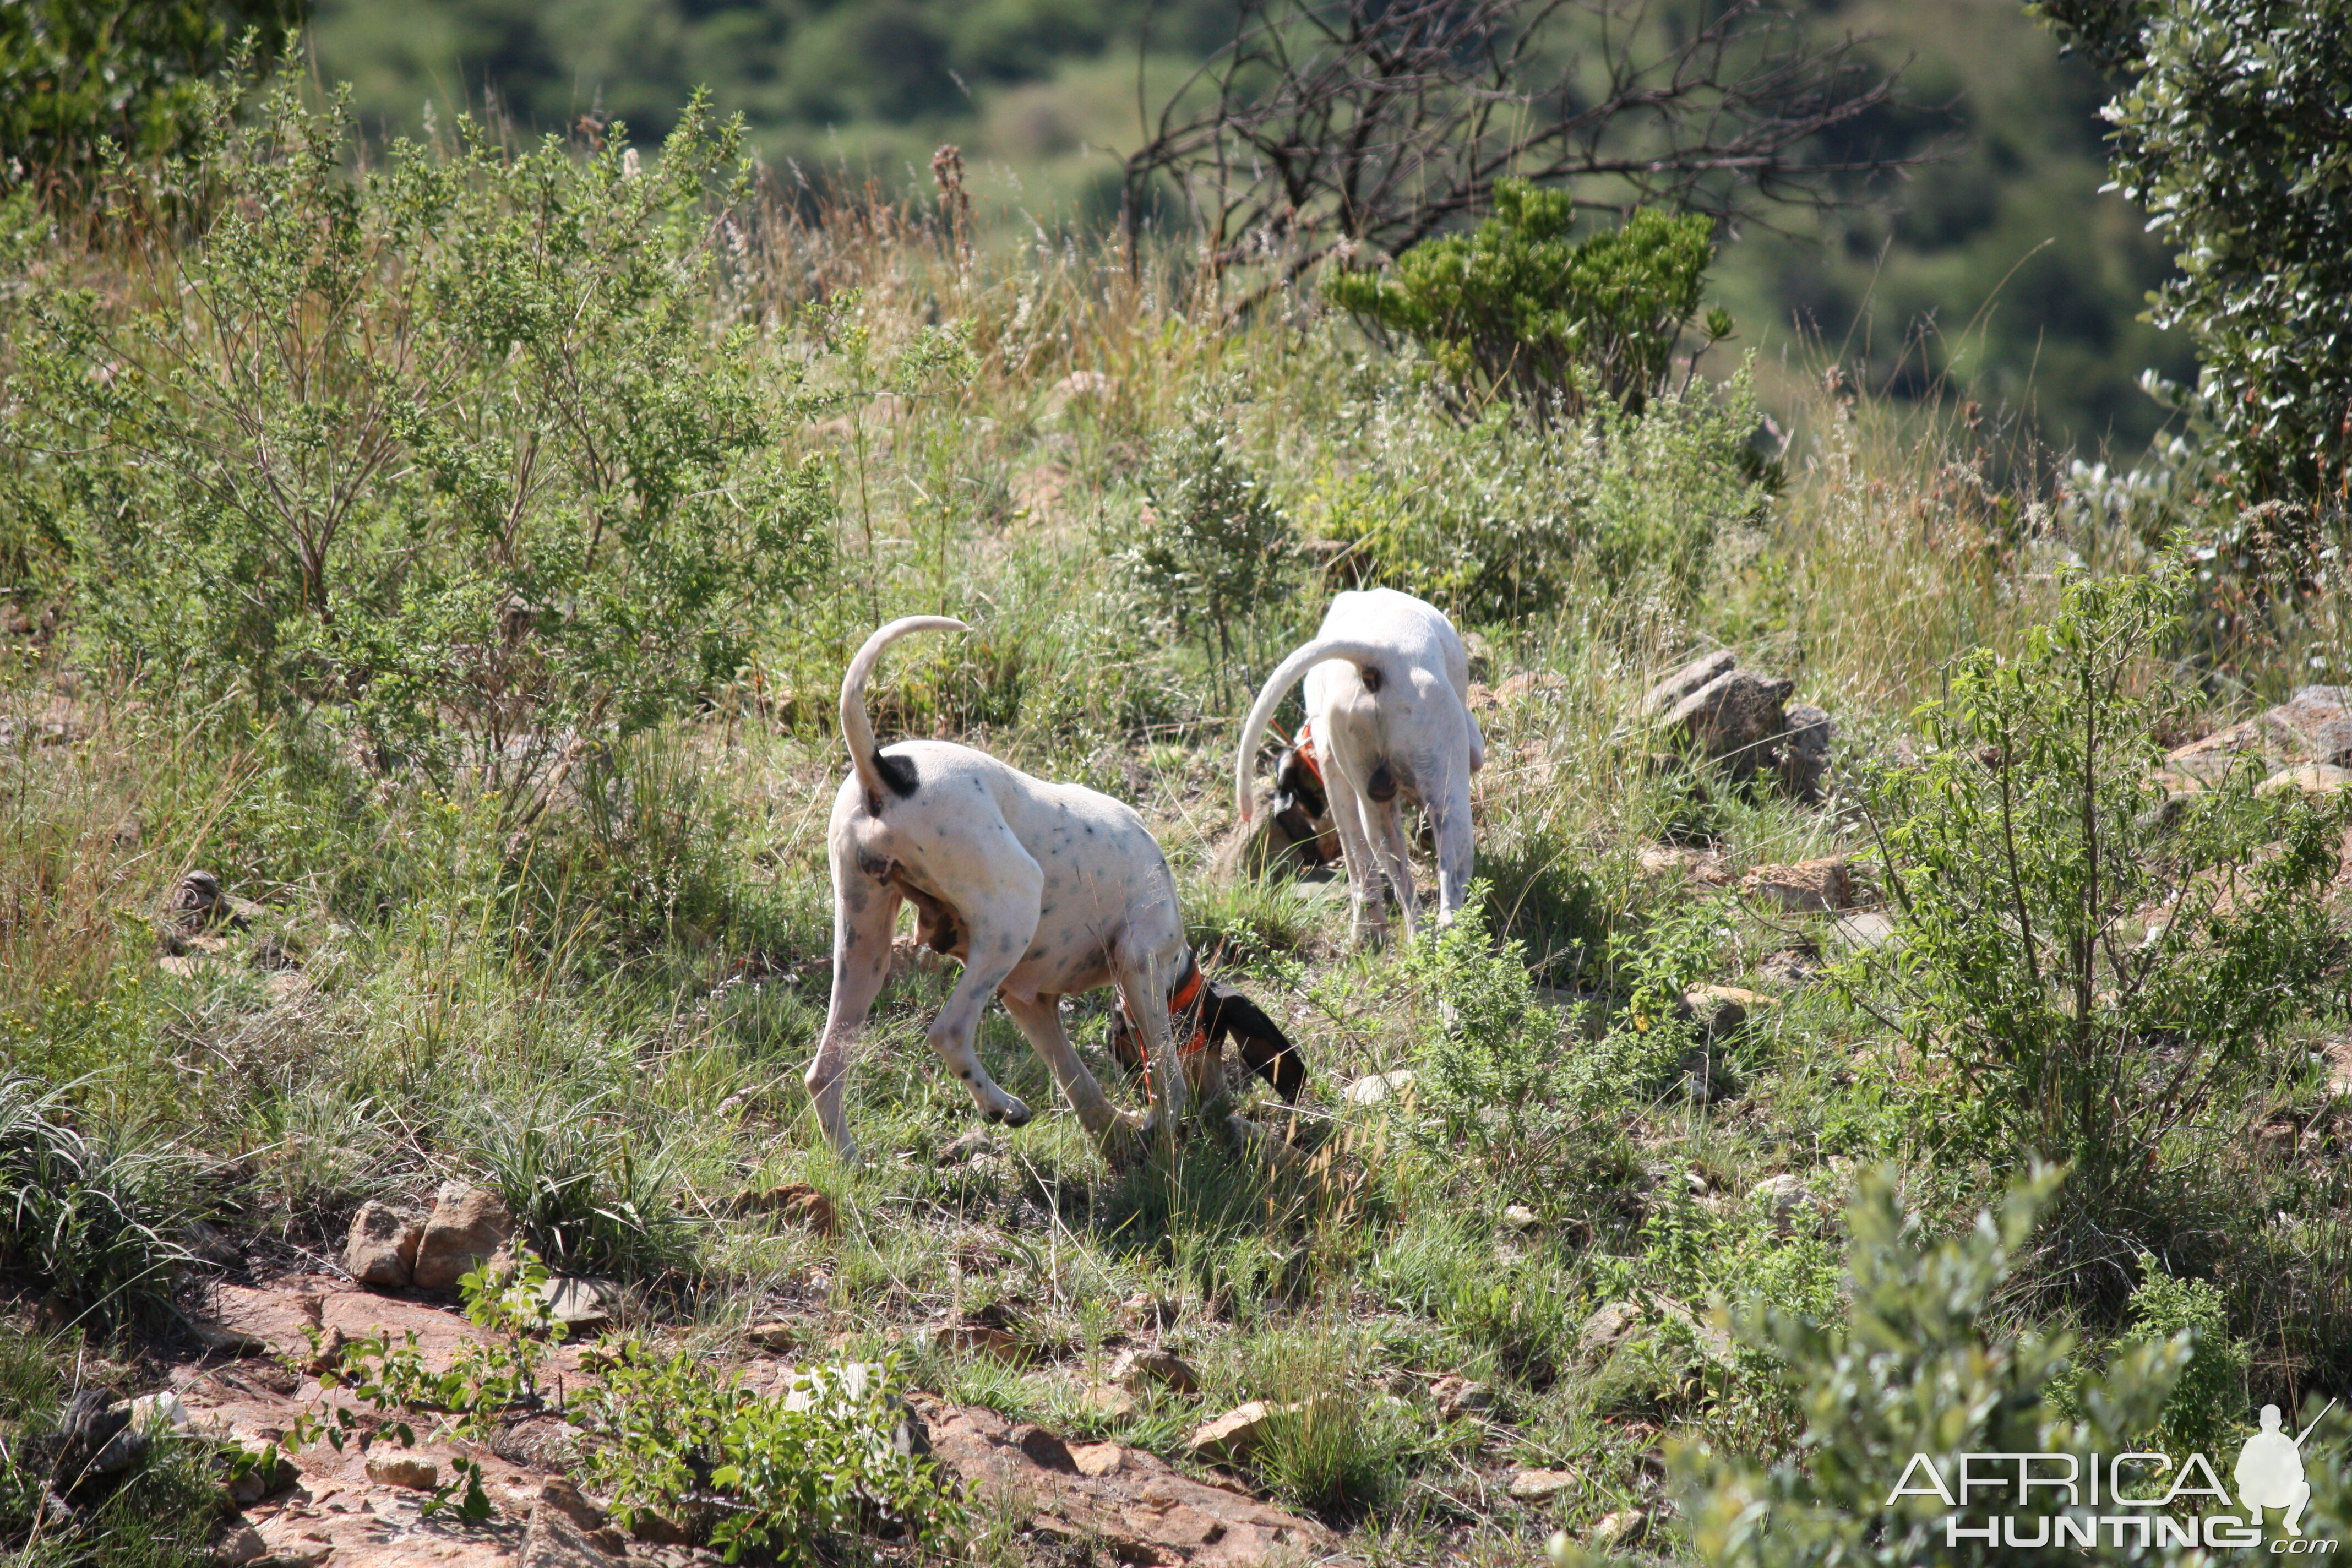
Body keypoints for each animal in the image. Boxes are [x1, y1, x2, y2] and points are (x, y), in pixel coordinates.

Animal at [1242, 587, 1477, 940]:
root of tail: (1376, 655)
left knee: (1400, 887)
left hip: (1378, 813)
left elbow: (1359, 866)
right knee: (1448, 903)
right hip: (1451, 797)